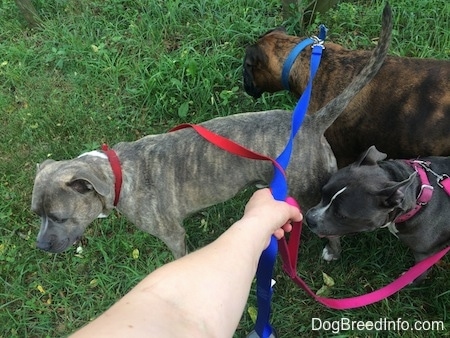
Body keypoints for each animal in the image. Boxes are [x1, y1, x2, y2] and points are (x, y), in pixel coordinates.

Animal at [30, 5, 390, 258]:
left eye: (59, 217)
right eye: (37, 214)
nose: (41, 246)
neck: (117, 173)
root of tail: (313, 121)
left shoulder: (172, 234)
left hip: (310, 194)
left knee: (330, 228)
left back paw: (331, 251)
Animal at [306, 145, 450, 280]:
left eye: (341, 215)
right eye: (323, 192)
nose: (308, 219)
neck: (419, 195)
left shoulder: (425, 256)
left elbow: (417, 275)